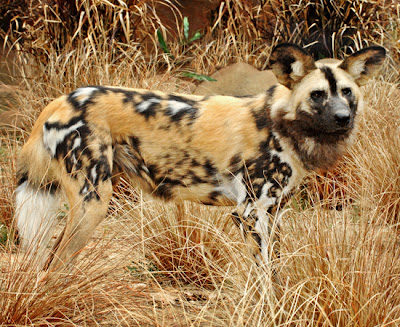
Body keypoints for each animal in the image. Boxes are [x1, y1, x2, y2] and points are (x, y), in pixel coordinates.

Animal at [14, 43, 386, 270]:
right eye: (317, 95)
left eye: (347, 93)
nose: (343, 118)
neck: (283, 125)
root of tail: (59, 102)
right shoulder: (249, 213)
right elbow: (266, 279)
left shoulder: (274, 213)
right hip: (93, 202)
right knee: (53, 267)